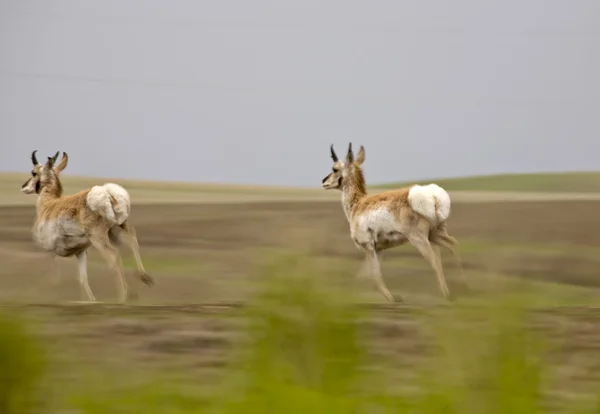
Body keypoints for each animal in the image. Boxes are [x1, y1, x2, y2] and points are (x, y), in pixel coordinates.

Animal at [20, 150, 154, 302]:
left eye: (33, 172)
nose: (23, 187)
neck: (49, 204)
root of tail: (107, 193)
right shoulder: (80, 252)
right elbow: (83, 279)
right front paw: (91, 300)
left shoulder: (51, 251)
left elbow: (54, 278)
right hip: (117, 229)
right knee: (132, 240)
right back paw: (144, 278)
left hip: (98, 238)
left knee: (114, 256)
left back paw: (124, 296)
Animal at [322, 144, 466, 302]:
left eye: (335, 169)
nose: (323, 181)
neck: (358, 204)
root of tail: (432, 195)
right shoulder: (379, 249)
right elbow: (366, 273)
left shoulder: (368, 246)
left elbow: (374, 274)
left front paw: (391, 298)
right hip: (435, 234)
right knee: (453, 244)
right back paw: (462, 287)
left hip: (419, 239)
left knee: (435, 260)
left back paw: (446, 293)